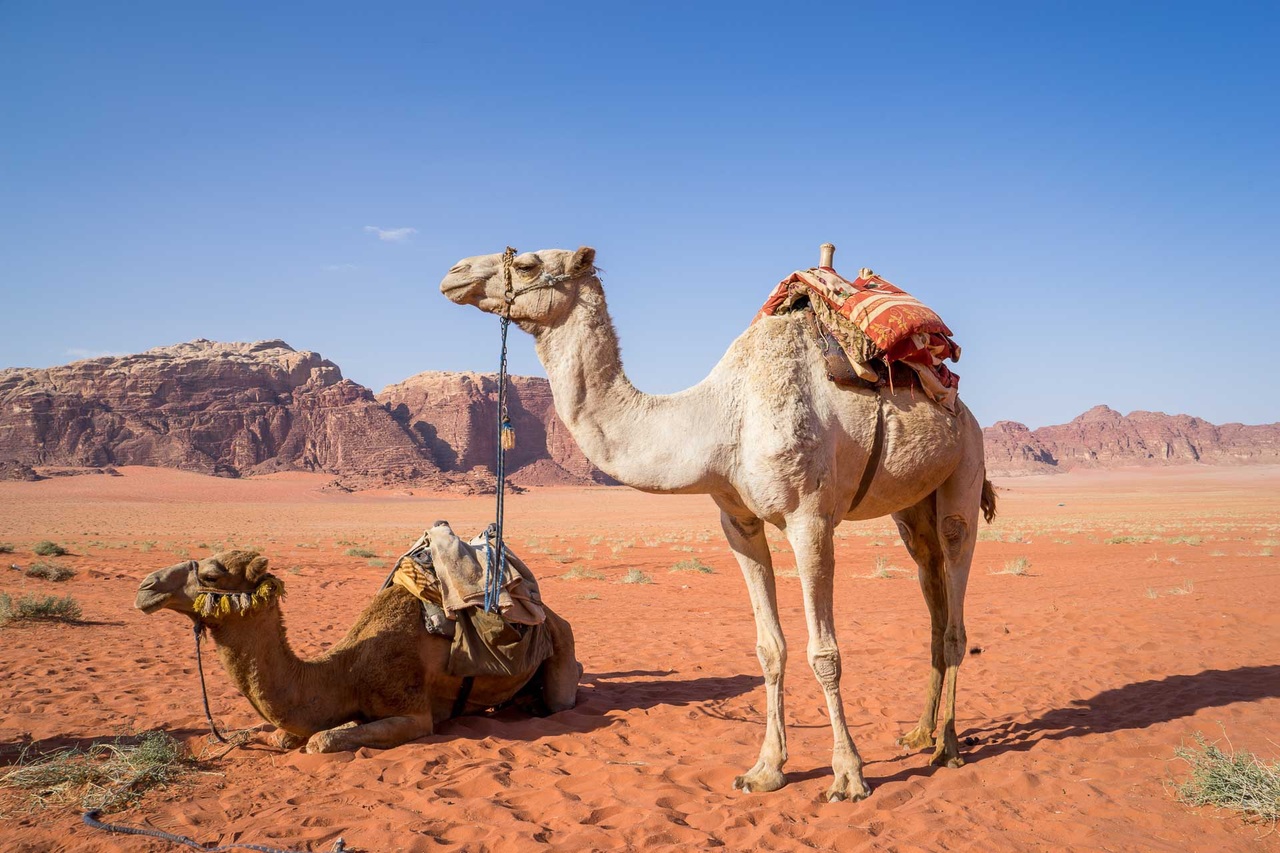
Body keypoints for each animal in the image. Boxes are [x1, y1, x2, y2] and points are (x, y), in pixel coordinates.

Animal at [135, 548, 581, 747]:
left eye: (211, 575)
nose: (146, 587)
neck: (345, 671)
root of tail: (548, 612)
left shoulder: (415, 714)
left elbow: (322, 740)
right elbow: (284, 735)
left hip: (561, 637)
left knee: (563, 694)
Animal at [445, 244, 993, 799]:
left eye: (528, 263)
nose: (454, 273)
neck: (720, 420)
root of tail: (960, 405)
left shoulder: (810, 519)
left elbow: (824, 652)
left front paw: (848, 775)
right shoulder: (738, 522)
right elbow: (770, 648)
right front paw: (766, 769)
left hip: (964, 470)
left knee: (954, 604)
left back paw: (947, 747)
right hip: (911, 507)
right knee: (931, 593)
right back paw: (919, 733)